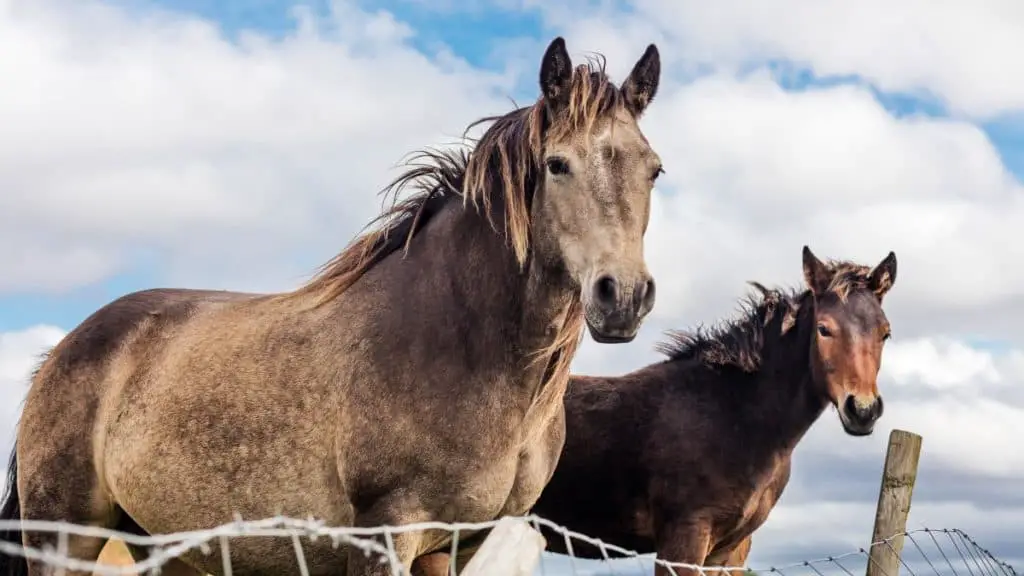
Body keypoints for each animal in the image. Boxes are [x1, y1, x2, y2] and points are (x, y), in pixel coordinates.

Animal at [0, 36, 663, 573]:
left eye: (653, 170)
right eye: (557, 165)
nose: (623, 296)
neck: (460, 345)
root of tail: (62, 352)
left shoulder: (461, 545)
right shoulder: (385, 533)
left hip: (163, 548)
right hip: (65, 538)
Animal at [415, 245, 897, 573]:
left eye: (885, 332)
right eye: (824, 329)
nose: (863, 410)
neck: (736, 417)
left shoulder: (730, 550)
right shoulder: (684, 539)